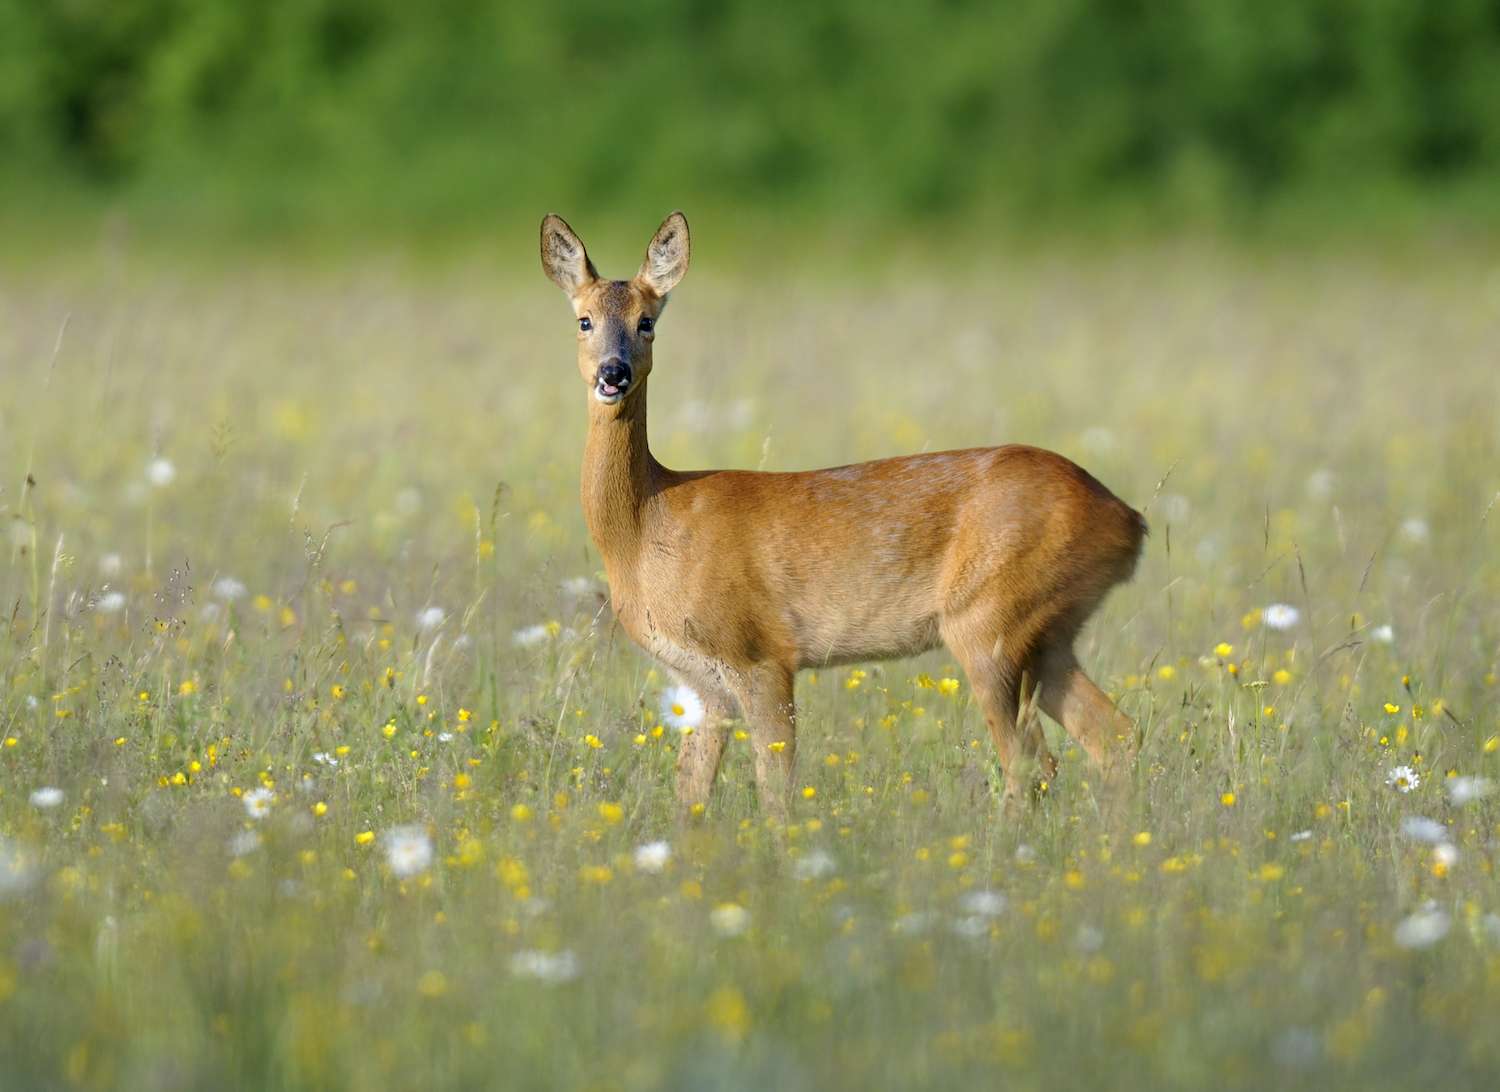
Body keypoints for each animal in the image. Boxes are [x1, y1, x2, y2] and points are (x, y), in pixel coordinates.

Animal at [546, 211, 1140, 816]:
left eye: (647, 321)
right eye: (584, 320)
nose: (613, 373)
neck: (648, 525)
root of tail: (1128, 520)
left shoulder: (761, 654)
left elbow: (777, 791)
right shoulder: (702, 684)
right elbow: (691, 798)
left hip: (989, 620)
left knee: (1031, 761)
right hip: (1048, 635)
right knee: (1114, 735)